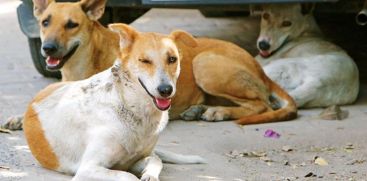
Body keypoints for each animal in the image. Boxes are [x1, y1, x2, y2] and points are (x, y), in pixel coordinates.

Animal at [24, 24, 206, 181]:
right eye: (144, 61)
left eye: (172, 59)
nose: (166, 90)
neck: (130, 107)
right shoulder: (88, 168)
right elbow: (127, 176)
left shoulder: (134, 161)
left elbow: (155, 160)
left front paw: (150, 175)